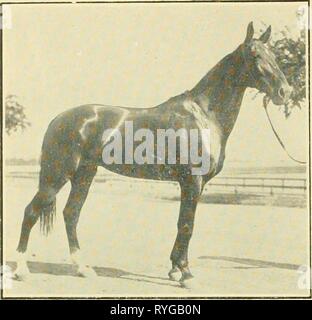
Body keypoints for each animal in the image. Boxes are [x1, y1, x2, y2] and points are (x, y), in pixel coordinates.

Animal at [14, 22, 292, 288]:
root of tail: (58, 119)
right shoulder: (192, 181)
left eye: (274, 54)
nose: (284, 92)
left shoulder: (195, 185)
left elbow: (183, 225)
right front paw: (186, 274)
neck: (204, 115)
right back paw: (20, 270)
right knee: (30, 212)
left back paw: (83, 268)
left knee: (71, 215)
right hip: (57, 175)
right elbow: (187, 225)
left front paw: (175, 270)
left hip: (84, 175)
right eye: (255, 55)